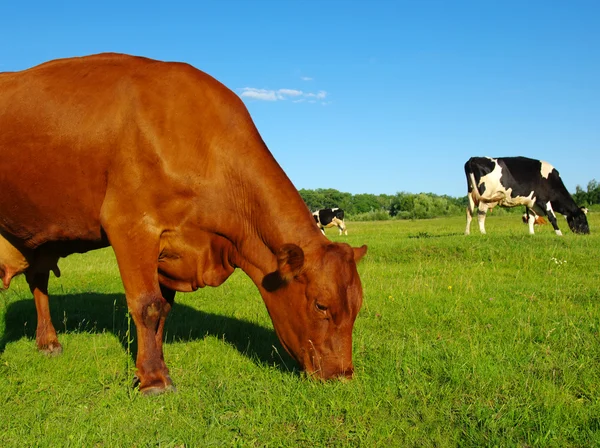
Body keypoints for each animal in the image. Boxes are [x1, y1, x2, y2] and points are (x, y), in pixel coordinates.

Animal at [0, 53, 368, 396]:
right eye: (321, 305)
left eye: (357, 307)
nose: (343, 376)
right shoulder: (130, 227)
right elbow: (147, 306)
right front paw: (155, 380)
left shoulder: (172, 251)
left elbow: (162, 311)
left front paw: (148, 368)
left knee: (38, 280)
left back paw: (48, 342)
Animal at [464, 157, 592, 236]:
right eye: (583, 219)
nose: (588, 233)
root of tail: (473, 158)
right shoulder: (544, 200)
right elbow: (552, 217)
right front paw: (559, 234)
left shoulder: (531, 203)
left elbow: (530, 219)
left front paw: (531, 234)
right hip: (485, 196)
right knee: (481, 214)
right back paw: (483, 232)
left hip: (471, 194)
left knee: (469, 213)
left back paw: (467, 233)